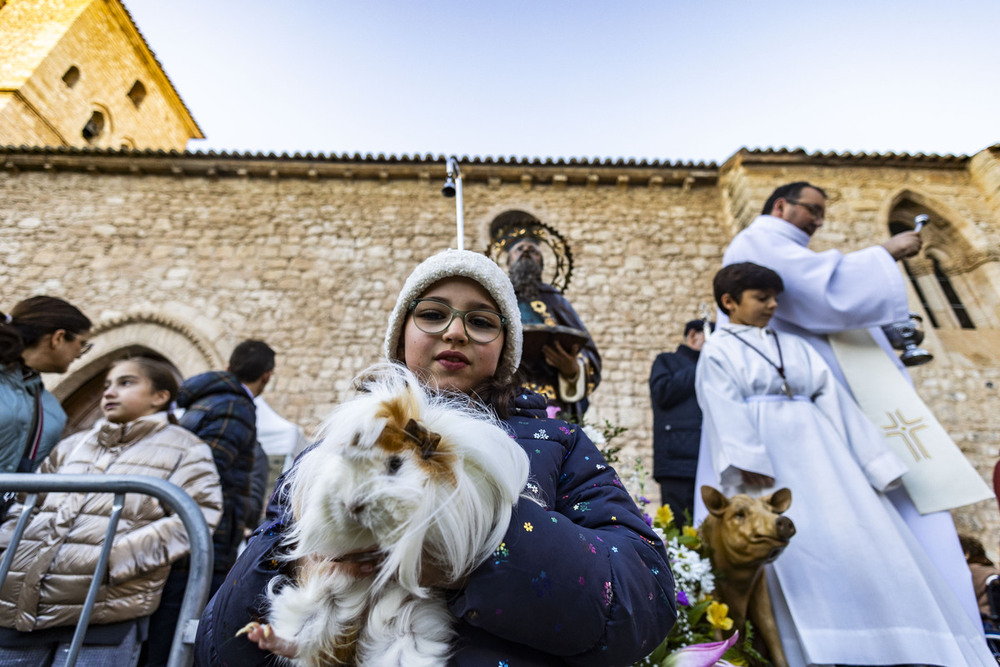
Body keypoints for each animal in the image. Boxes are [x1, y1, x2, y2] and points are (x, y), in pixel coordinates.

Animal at [239, 366, 532, 667]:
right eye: (349, 460)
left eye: (395, 464)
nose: (352, 504)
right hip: (322, 598)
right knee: (299, 641)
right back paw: (257, 634)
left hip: (407, 629)